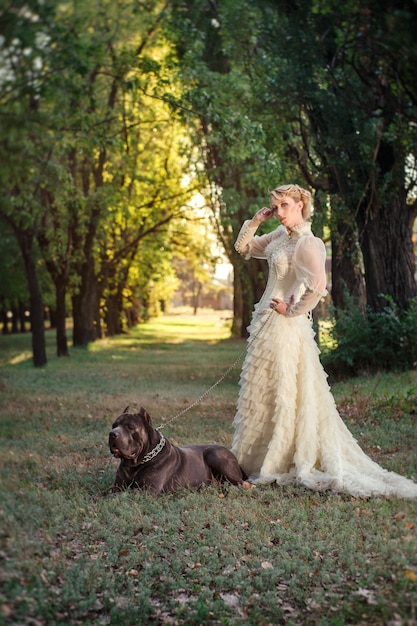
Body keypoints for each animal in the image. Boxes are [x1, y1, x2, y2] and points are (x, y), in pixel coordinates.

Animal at [107, 404, 247, 492]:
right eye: (114, 425)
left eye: (130, 427)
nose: (112, 434)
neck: (136, 463)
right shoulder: (117, 485)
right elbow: (106, 492)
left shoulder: (146, 490)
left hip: (214, 455)